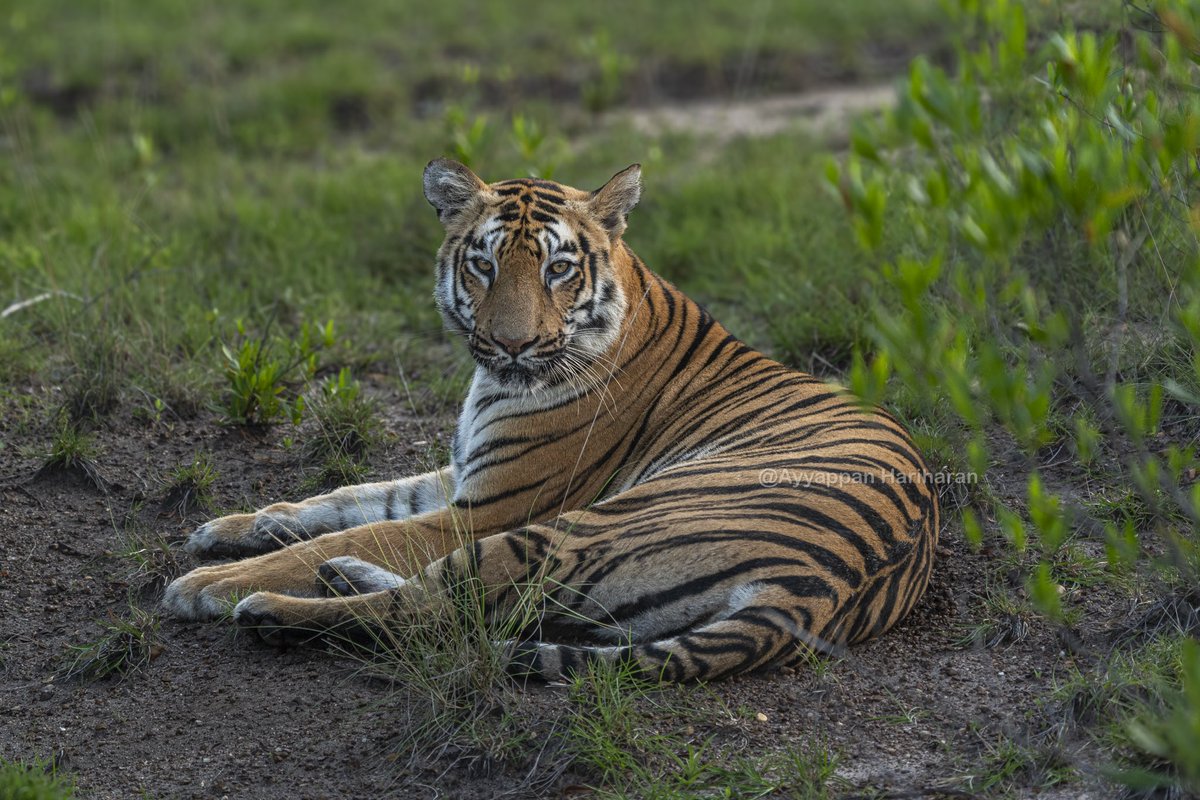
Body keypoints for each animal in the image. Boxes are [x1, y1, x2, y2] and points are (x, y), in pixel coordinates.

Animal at [164, 159, 940, 686]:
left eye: (558, 269)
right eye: (483, 265)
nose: (511, 344)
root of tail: (824, 585)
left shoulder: (489, 509)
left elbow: (363, 527)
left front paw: (205, 583)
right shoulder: (464, 476)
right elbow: (352, 497)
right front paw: (240, 524)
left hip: (574, 528)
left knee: (432, 612)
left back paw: (271, 606)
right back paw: (339, 577)